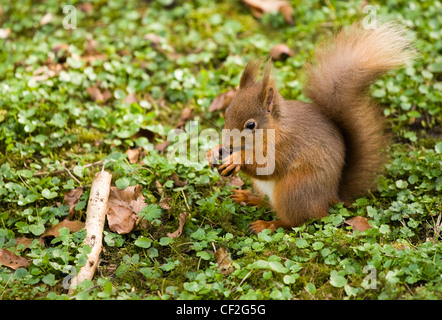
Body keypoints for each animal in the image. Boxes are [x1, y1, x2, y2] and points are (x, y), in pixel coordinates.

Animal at [207, 21, 414, 234]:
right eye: (227, 112)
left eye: (251, 125)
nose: (227, 144)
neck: (277, 129)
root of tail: (330, 198)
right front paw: (213, 151)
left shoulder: (288, 146)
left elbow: (269, 165)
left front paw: (237, 159)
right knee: (270, 204)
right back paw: (249, 198)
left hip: (294, 191)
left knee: (295, 221)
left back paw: (267, 224)